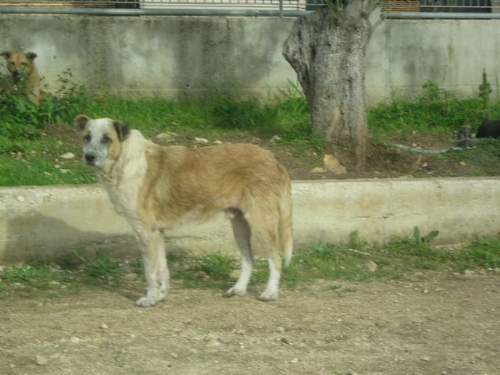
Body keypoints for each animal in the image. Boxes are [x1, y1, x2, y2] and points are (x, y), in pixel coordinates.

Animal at [73, 115, 292, 308]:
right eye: (86, 137)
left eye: (106, 139)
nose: (89, 157)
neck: (124, 160)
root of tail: (274, 159)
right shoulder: (157, 234)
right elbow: (162, 269)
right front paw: (160, 296)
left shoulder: (145, 233)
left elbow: (150, 272)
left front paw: (149, 299)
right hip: (239, 224)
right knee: (248, 259)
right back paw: (238, 289)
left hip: (261, 222)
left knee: (275, 258)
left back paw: (270, 292)